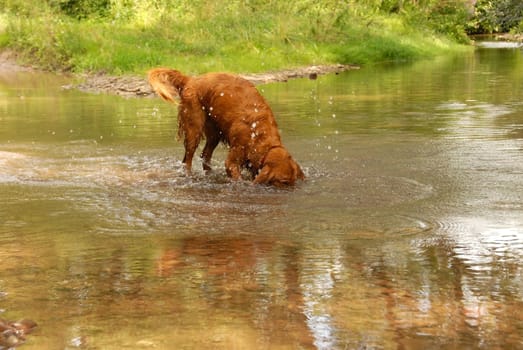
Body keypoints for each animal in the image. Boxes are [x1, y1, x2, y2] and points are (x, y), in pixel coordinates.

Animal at [147, 69, 304, 189]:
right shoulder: (233, 160)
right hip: (194, 129)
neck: (258, 133)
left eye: (293, 180)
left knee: (205, 155)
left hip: (214, 133)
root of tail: (191, 80)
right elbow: (237, 176)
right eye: (283, 181)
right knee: (188, 160)